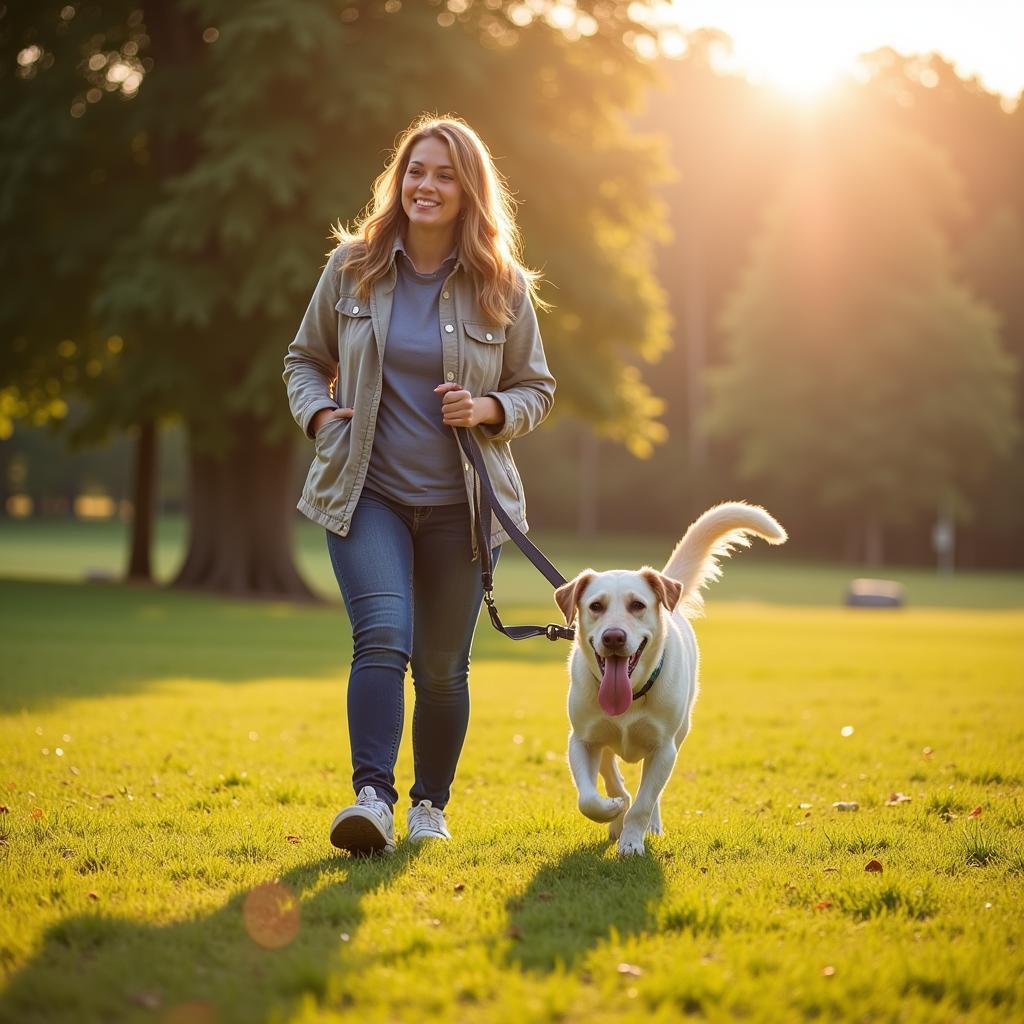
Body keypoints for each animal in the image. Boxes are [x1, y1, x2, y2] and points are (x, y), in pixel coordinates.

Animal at [552, 503, 782, 856]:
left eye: (637, 605)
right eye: (596, 606)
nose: (614, 637)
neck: (632, 695)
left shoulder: (664, 748)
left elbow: (645, 802)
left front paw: (632, 841)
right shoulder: (582, 739)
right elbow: (590, 798)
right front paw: (614, 808)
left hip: (680, 732)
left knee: (652, 792)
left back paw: (648, 825)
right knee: (610, 769)